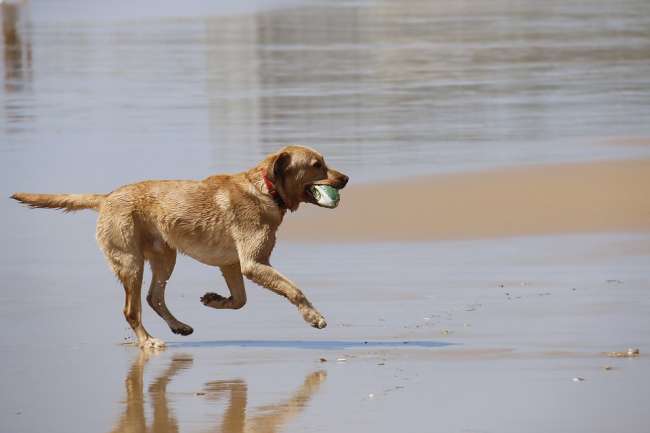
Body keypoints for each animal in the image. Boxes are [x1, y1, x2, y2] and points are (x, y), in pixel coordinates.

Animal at [11, 145, 344, 348]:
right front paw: (313, 317)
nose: (346, 178)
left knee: (153, 297)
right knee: (131, 310)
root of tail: (106, 198)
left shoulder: (231, 264)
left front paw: (215, 300)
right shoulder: (253, 263)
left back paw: (178, 326)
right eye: (317, 165)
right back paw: (147, 342)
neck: (266, 189)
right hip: (131, 263)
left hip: (164, 257)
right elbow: (294, 290)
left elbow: (239, 301)